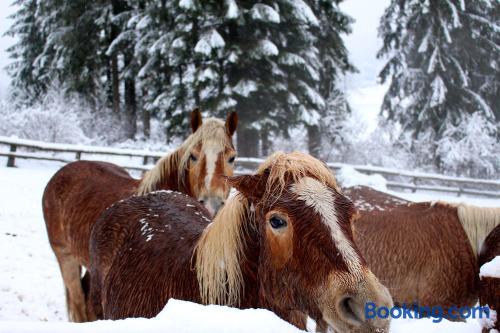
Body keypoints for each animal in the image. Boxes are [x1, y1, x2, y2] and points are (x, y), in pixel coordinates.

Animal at [41, 109, 238, 322]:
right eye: (193, 156)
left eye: (232, 158)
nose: (212, 204)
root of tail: (62, 172)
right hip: (65, 256)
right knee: (78, 302)